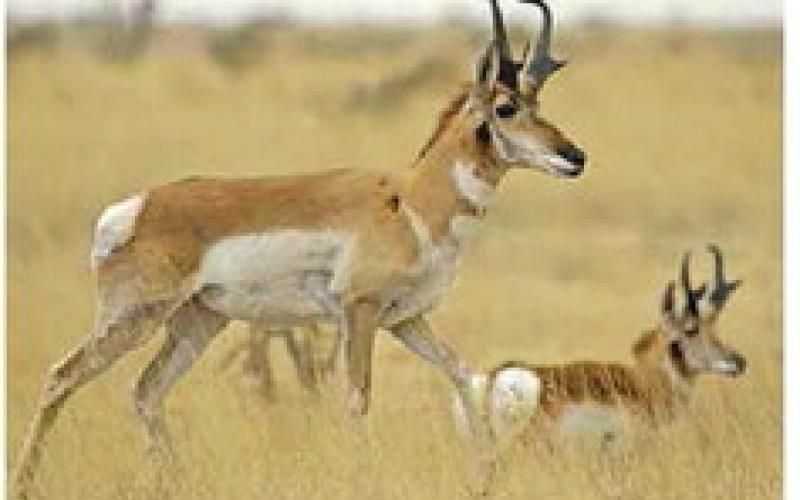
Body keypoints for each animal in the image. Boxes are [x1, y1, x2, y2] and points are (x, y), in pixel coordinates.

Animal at [13, 0, 587, 495]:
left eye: (538, 103)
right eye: (507, 106)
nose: (575, 156)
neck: (411, 199)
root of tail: (135, 207)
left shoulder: (405, 319)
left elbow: (462, 374)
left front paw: (487, 477)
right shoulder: (359, 312)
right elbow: (357, 398)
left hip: (197, 322)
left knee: (146, 391)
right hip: (135, 318)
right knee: (61, 377)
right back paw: (24, 482)